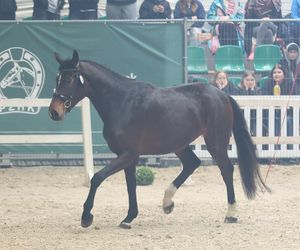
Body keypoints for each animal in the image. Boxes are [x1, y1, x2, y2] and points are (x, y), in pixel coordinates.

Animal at [49, 49, 270, 229]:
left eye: (69, 79)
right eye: (57, 78)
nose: (54, 112)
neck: (122, 102)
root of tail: (222, 95)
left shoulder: (128, 154)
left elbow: (97, 178)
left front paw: (86, 217)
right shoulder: (128, 156)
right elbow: (130, 185)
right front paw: (128, 218)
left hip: (215, 142)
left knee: (226, 170)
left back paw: (231, 213)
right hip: (179, 144)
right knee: (192, 163)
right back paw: (167, 203)